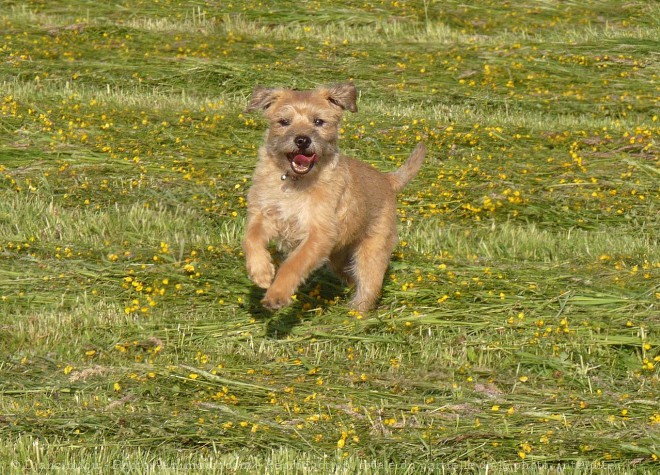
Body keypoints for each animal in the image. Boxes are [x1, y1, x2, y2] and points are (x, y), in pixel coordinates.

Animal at [244, 82, 428, 312]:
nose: (302, 140)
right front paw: (261, 271)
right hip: (339, 258)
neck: (295, 182)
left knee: (367, 286)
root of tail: (387, 179)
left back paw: (354, 314)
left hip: (371, 253)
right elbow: (251, 238)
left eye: (318, 122)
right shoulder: (263, 214)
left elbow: (294, 263)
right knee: (350, 278)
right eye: (284, 122)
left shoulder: (319, 233)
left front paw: (277, 294)